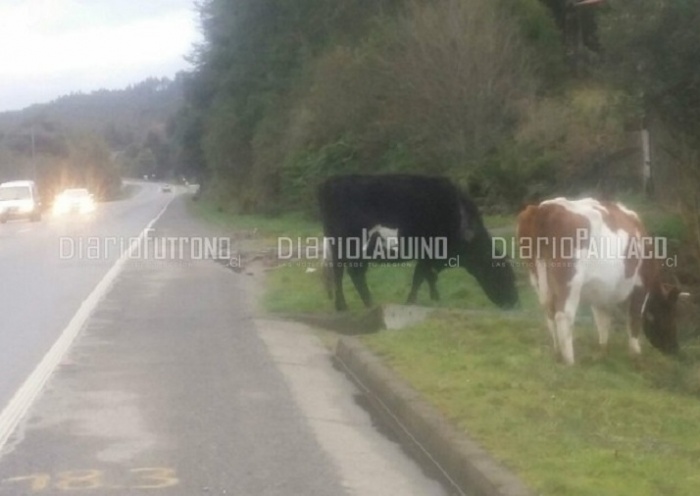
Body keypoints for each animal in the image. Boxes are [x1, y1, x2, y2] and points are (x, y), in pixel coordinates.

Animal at [318, 175, 520, 310]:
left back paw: (343, 306)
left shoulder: (431, 258)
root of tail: (332, 182)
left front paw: (434, 298)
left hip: (340, 249)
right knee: (353, 274)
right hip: (353, 247)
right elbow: (420, 277)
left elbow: (427, 277)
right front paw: (413, 301)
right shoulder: (428, 253)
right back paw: (367, 303)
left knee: (339, 273)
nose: (514, 302)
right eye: (507, 276)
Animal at [516, 198, 688, 364]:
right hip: (570, 280)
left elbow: (603, 321)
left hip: (537, 277)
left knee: (549, 312)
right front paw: (636, 355)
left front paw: (603, 352)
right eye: (671, 315)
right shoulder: (641, 285)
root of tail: (545, 208)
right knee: (563, 315)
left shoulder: (601, 293)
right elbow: (634, 318)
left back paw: (557, 354)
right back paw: (570, 361)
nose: (675, 349)